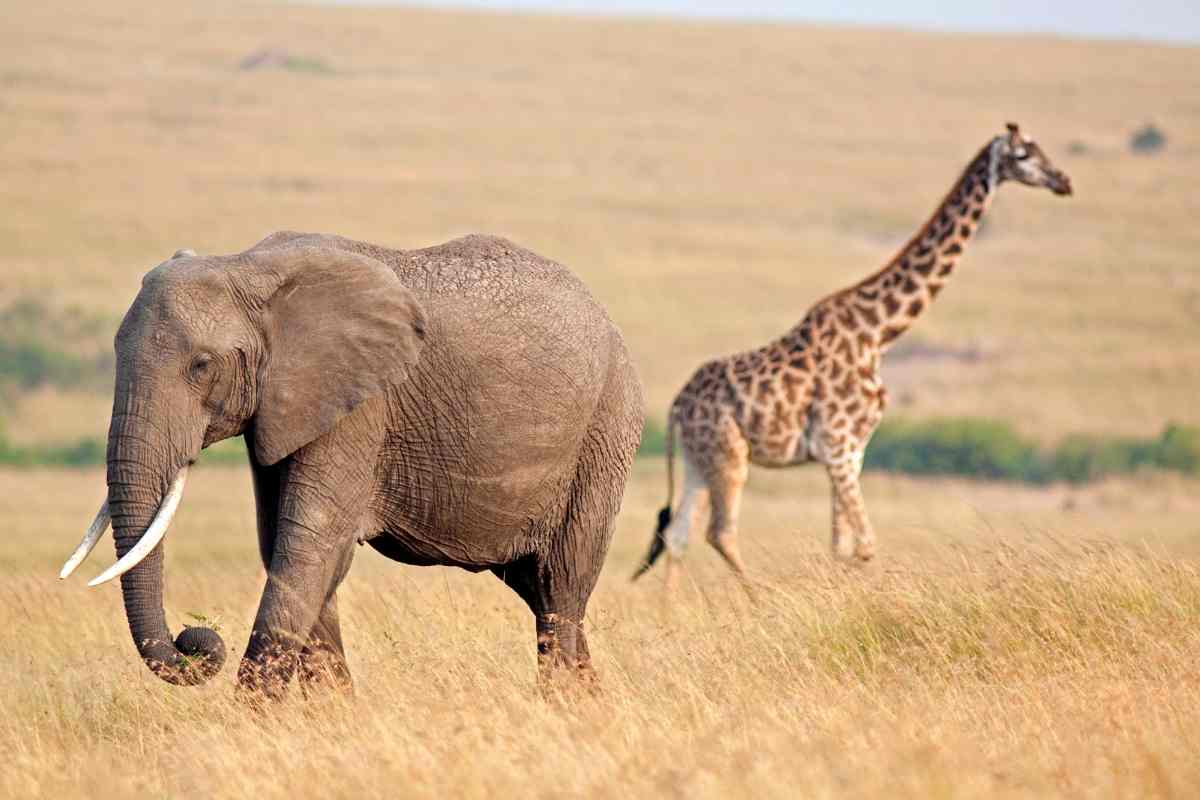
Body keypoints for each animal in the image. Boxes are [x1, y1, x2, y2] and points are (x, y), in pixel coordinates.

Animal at [60, 231, 645, 698]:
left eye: (201, 366)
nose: (195, 640)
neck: (247, 267)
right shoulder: (284, 405)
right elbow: (288, 546)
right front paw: (336, 715)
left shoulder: (360, 405)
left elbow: (308, 543)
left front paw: (251, 727)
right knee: (538, 589)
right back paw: (593, 705)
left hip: (603, 433)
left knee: (560, 585)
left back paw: (561, 706)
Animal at [633, 123, 1072, 586]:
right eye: (1023, 155)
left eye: (1041, 150)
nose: (1064, 181)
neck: (878, 333)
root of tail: (676, 406)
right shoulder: (838, 445)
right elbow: (864, 545)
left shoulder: (853, 450)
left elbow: (840, 546)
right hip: (730, 455)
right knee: (719, 532)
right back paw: (759, 596)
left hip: (698, 460)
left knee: (677, 534)